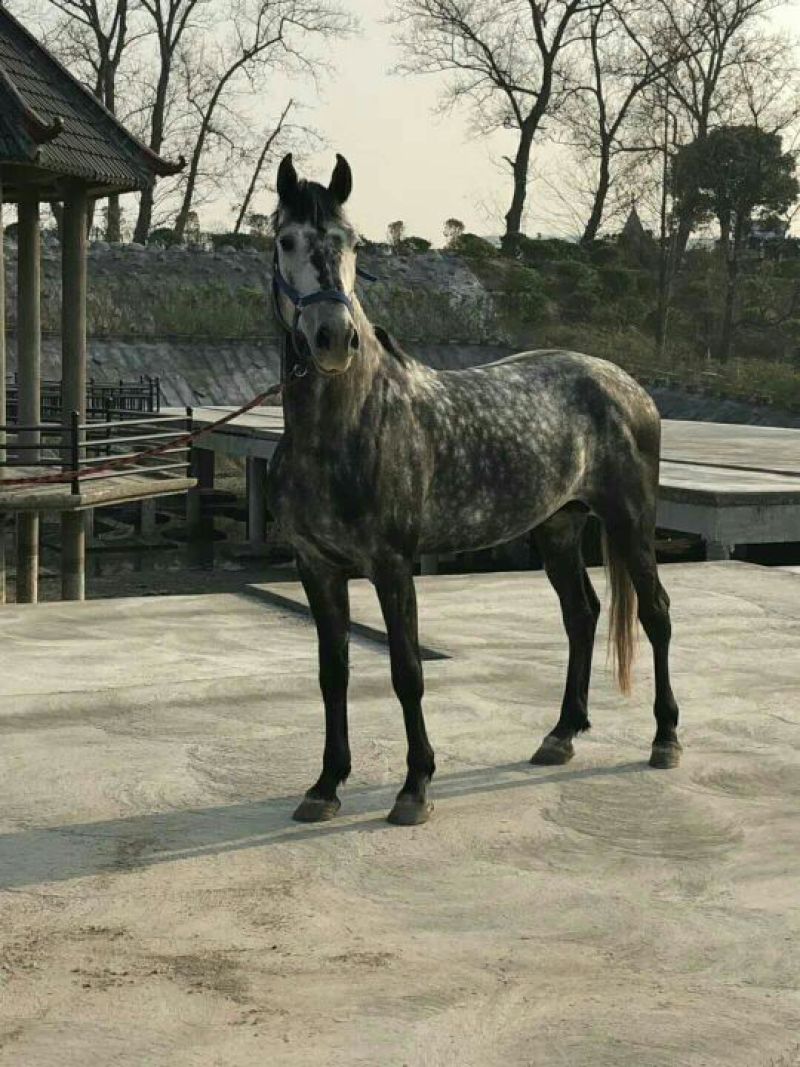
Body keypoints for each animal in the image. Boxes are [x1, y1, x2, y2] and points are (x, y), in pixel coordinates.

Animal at [266, 152, 681, 826]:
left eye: (351, 241)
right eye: (287, 241)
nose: (333, 337)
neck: (345, 425)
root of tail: (627, 385)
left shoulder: (392, 565)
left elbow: (407, 671)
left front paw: (415, 788)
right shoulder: (316, 567)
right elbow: (333, 674)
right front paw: (325, 786)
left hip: (630, 522)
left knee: (657, 615)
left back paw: (665, 738)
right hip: (559, 526)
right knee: (582, 615)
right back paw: (561, 734)